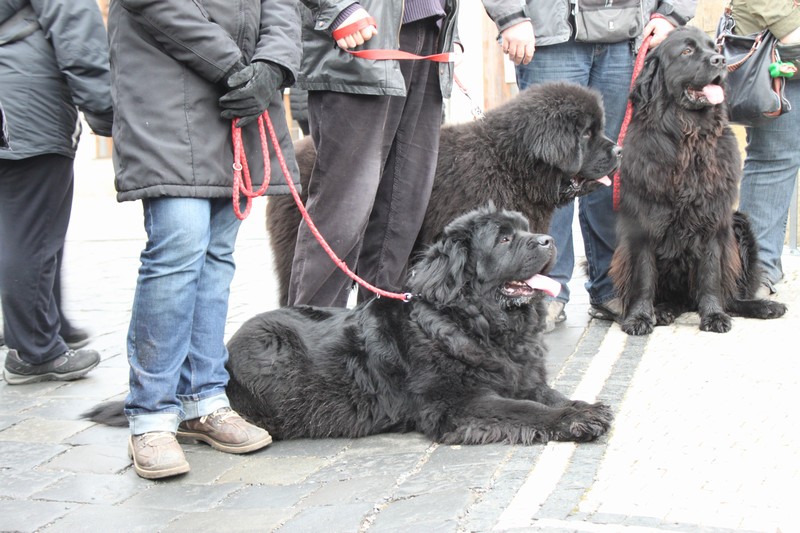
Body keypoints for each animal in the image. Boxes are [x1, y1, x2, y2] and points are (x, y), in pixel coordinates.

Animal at [225, 206, 612, 442]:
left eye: (525, 229)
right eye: (503, 239)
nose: (548, 240)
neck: (475, 324)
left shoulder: (522, 376)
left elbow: (549, 395)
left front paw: (582, 407)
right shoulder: (456, 402)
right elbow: (525, 409)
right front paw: (574, 420)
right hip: (272, 344)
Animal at [608, 26, 788, 332]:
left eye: (713, 47)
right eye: (686, 51)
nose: (720, 61)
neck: (689, 138)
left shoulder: (712, 220)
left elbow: (711, 275)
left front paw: (714, 316)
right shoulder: (644, 222)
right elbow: (644, 277)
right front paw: (639, 317)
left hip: (739, 225)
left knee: (731, 296)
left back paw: (764, 306)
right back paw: (663, 311)